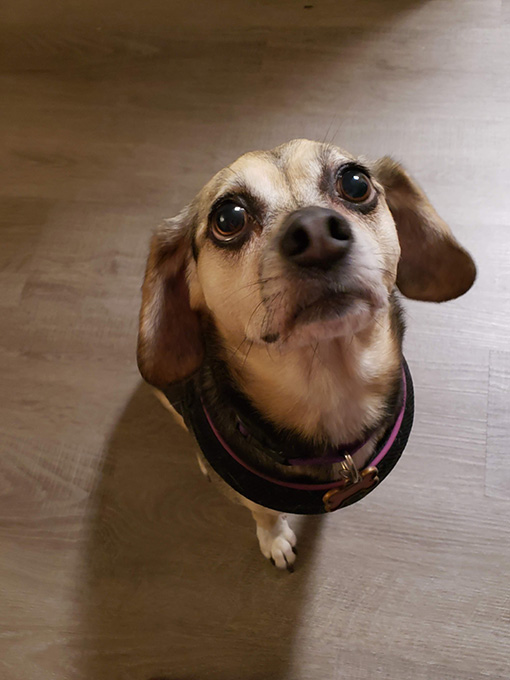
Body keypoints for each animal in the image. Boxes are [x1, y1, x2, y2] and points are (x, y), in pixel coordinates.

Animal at [136, 138, 478, 568]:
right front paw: (275, 540)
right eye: (228, 218)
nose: (316, 233)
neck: (331, 388)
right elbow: (264, 513)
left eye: (355, 183)